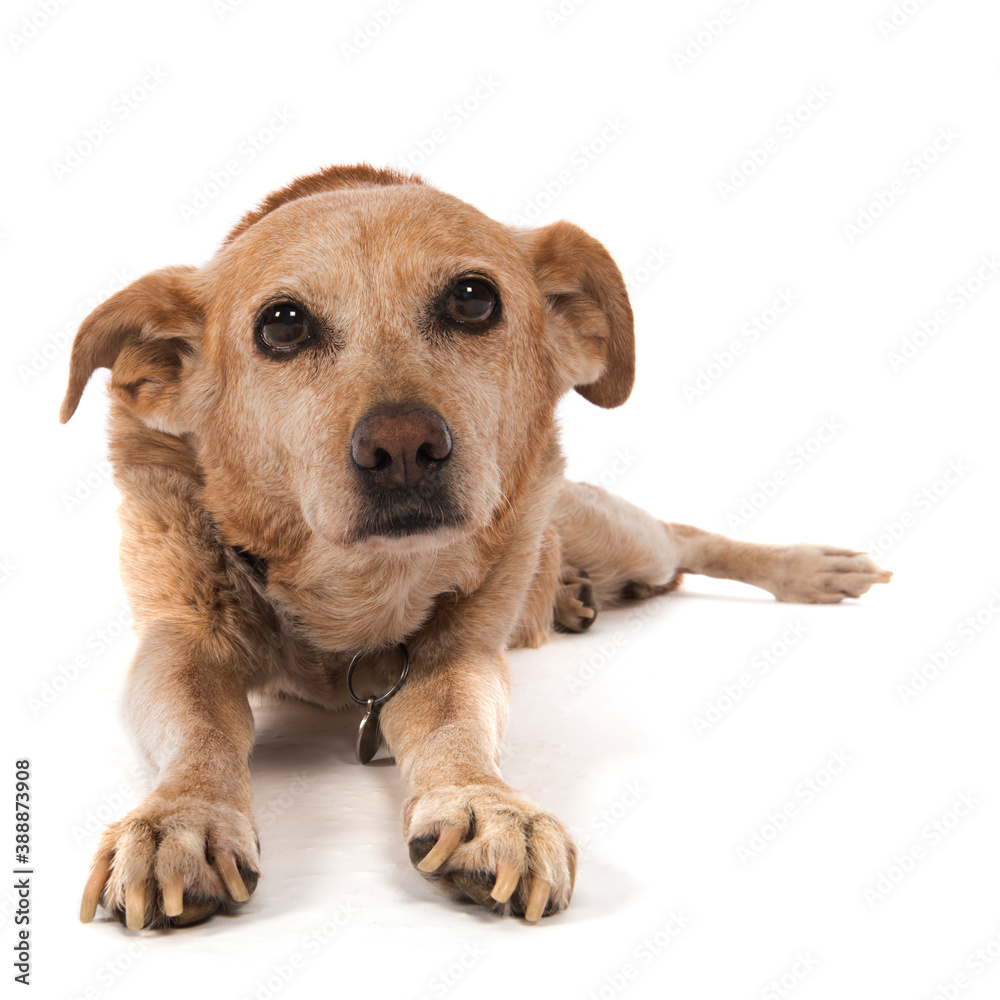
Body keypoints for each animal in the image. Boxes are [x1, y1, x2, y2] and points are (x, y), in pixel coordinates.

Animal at [62, 164, 892, 928]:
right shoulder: (178, 649)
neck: (361, 592)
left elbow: (456, 730)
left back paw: (809, 569)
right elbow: (203, 729)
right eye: (283, 323)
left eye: (471, 299)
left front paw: (487, 807)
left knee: (686, 540)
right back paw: (574, 596)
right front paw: (185, 818)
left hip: (622, 537)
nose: (402, 446)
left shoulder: (456, 661)